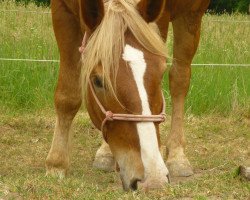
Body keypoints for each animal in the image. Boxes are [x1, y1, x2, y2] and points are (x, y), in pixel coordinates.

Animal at [46, 0, 210, 191]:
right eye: (97, 81)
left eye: (160, 73)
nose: (152, 178)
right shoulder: (61, 11)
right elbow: (67, 97)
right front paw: (56, 164)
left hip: (192, 15)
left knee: (180, 78)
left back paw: (177, 156)